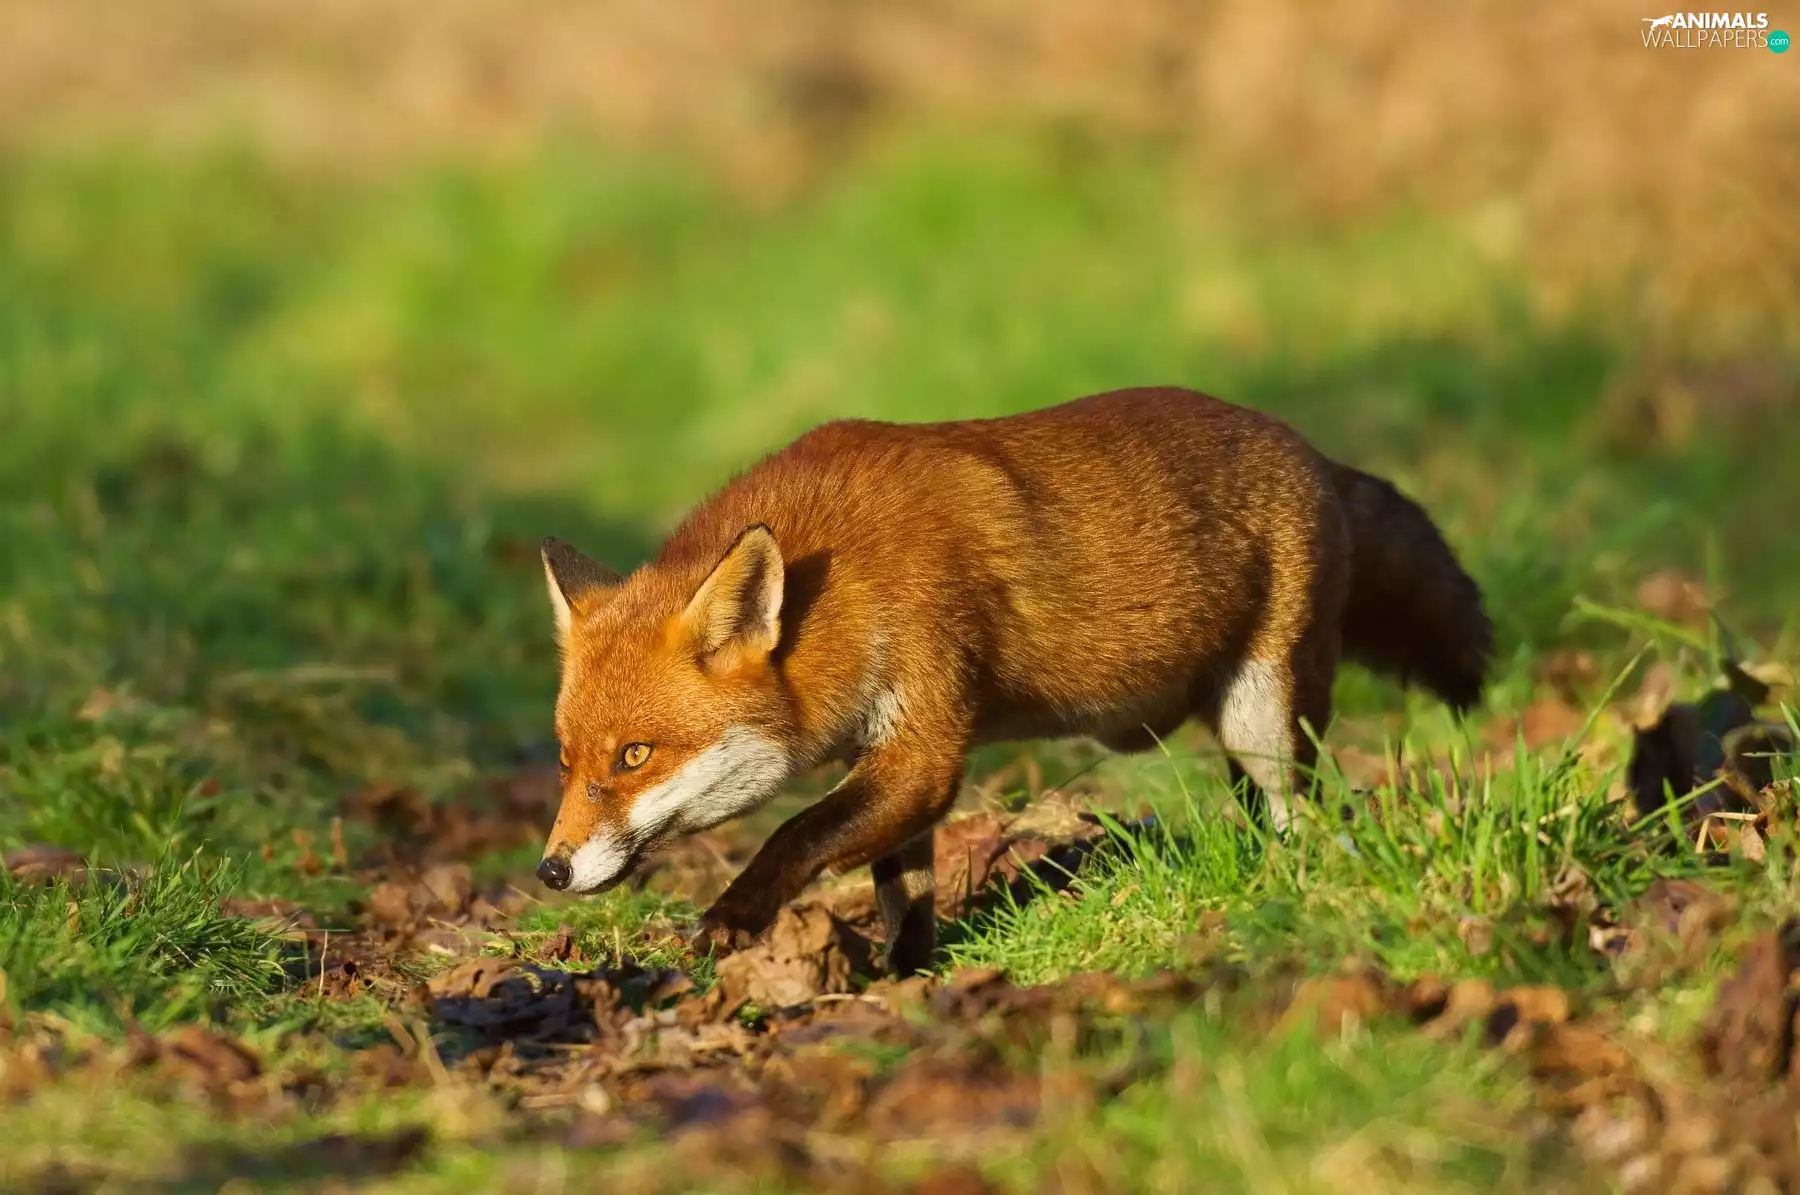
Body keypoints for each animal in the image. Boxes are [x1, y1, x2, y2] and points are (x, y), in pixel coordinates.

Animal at [535, 387, 1491, 975]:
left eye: (634, 756)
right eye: (566, 761)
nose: (550, 870)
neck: (845, 583)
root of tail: (1314, 452)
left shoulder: (925, 739)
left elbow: (795, 833)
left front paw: (735, 917)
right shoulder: (894, 761)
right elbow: (903, 891)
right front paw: (903, 977)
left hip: (1267, 721)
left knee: (1311, 818)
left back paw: (1289, 889)